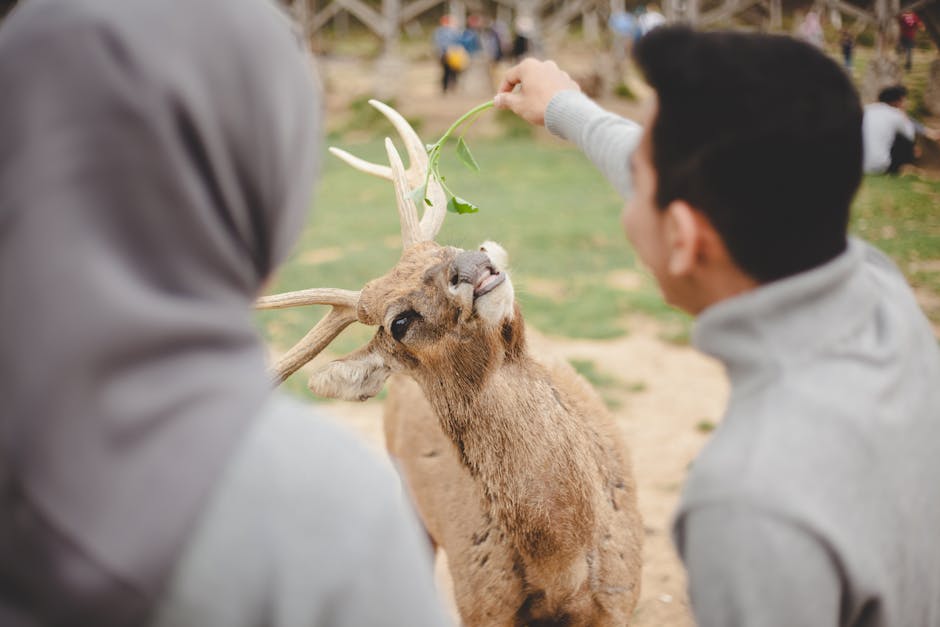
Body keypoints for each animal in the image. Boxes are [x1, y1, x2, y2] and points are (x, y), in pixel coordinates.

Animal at [253, 100, 644, 624]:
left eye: (448, 248)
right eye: (399, 322)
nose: (473, 264)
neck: (561, 574)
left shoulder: (622, 599)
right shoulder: (481, 603)